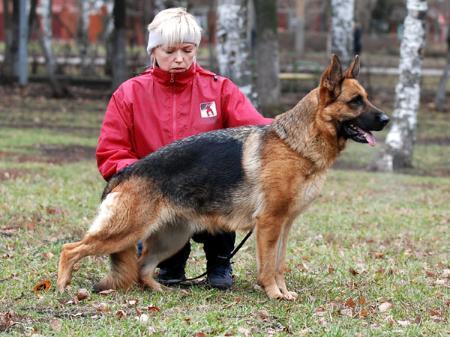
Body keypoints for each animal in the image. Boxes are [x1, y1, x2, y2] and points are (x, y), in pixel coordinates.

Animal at [57, 55, 386, 300]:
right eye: (356, 101)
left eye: (367, 99)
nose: (386, 119)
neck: (295, 144)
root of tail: (124, 173)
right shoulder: (269, 223)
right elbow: (268, 267)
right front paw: (274, 294)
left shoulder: (285, 225)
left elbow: (279, 264)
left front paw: (284, 292)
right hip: (124, 232)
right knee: (70, 249)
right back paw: (62, 287)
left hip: (171, 238)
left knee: (141, 268)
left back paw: (161, 289)